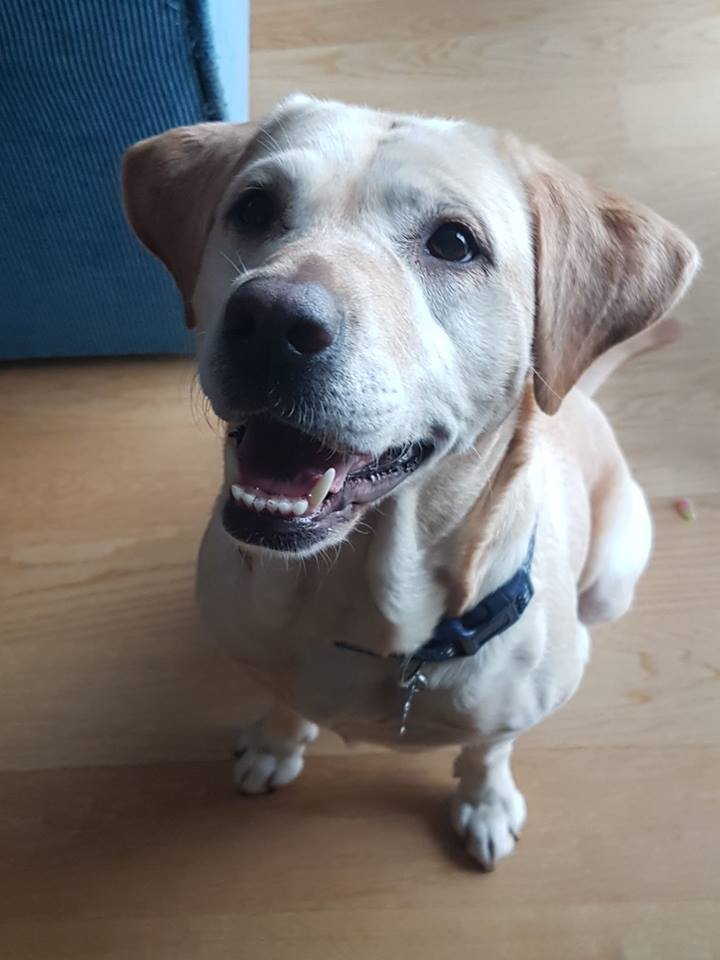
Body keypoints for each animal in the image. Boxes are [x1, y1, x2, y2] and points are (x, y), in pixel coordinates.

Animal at [122, 94, 696, 868]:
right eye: (254, 207)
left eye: (454, 242)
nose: (270, 320)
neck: (362, 612)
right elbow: (285, 698)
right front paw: (275, 743)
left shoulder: (514, 708)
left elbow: (489, 748)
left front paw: (485, 801)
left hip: (608, 584)